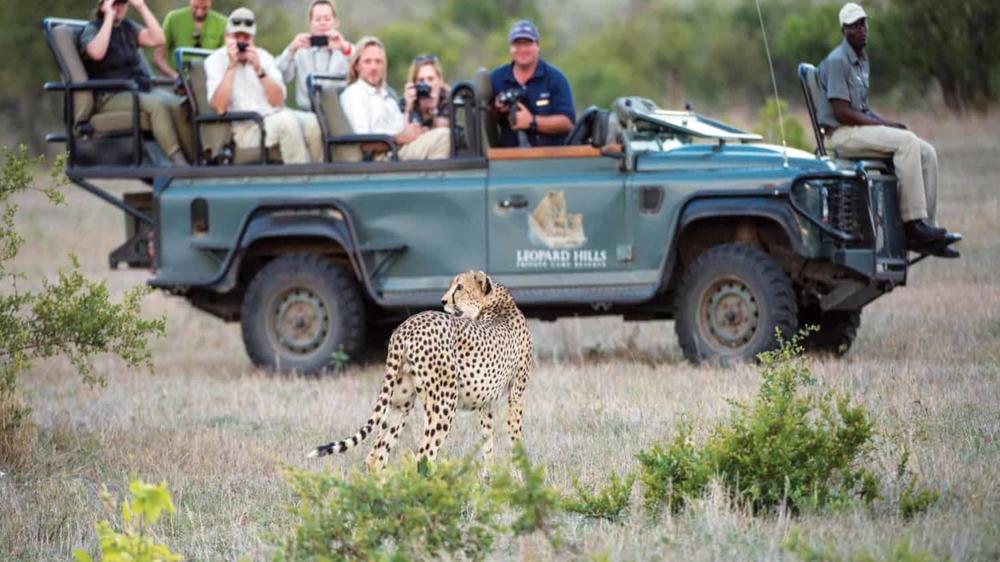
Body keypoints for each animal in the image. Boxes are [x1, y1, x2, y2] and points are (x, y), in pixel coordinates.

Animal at [308, 270, 534, 472]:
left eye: (460, 287)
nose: (443, 301)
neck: (495, 303)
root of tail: (406, 326)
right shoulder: (516, 393)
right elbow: (515, 436)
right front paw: (522, 480)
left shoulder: (485, 403)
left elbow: (488, 443)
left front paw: (489, 482)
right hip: (444, 402)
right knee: (423, 456)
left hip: (401, 401)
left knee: (376, 456)